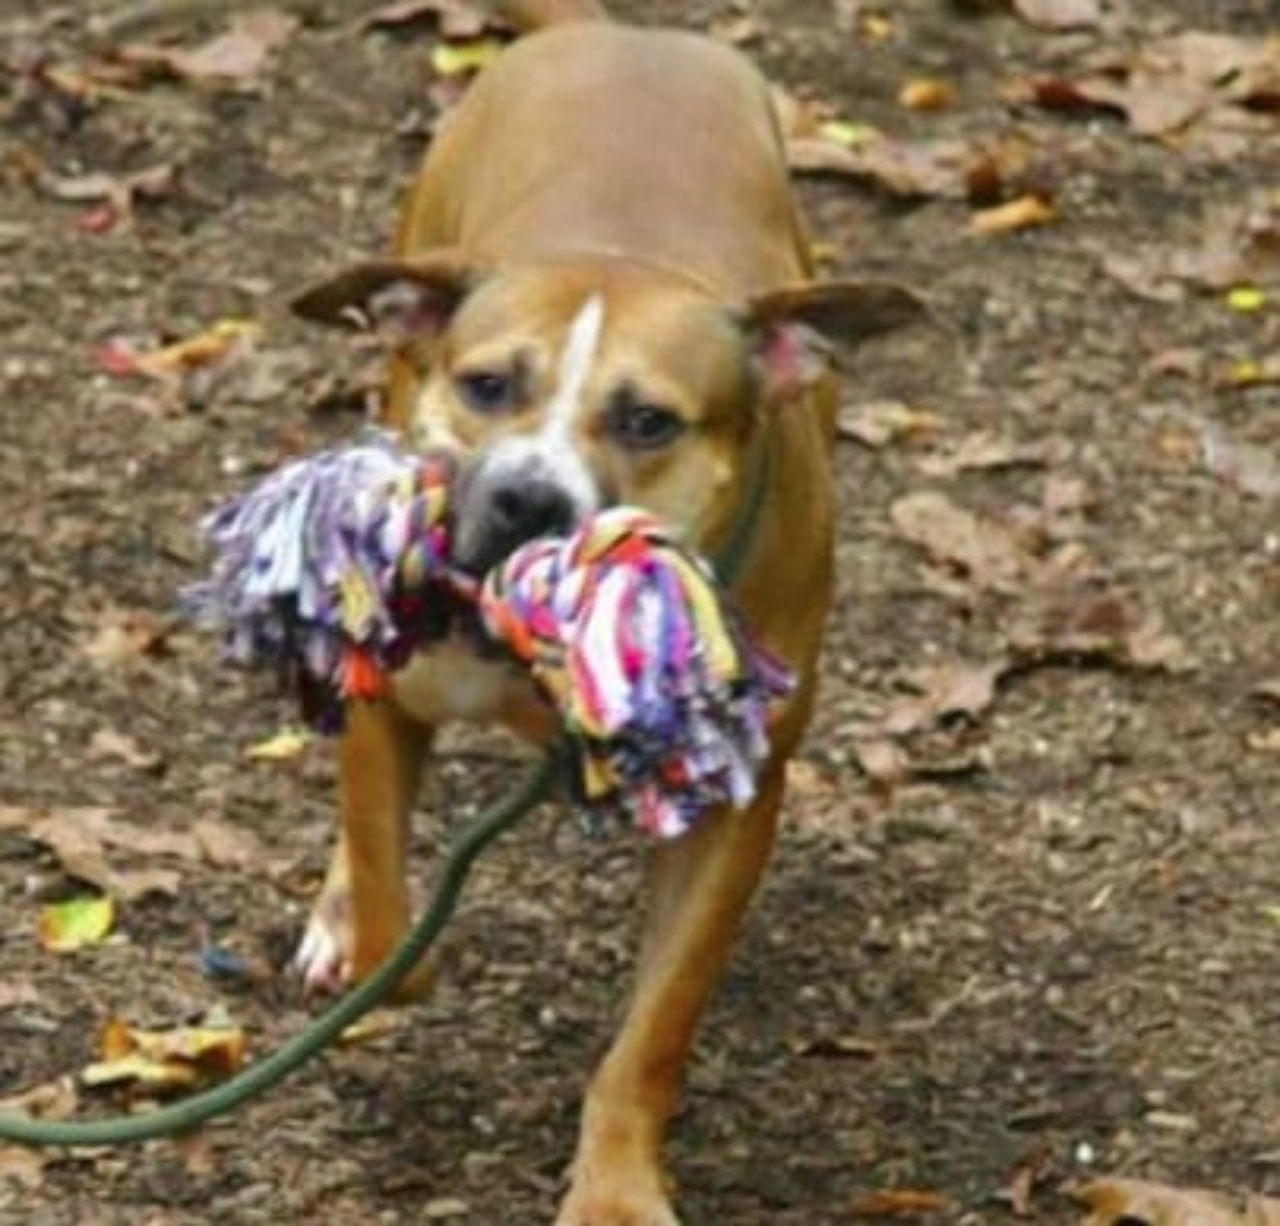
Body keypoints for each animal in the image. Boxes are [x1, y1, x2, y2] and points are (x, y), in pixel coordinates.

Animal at [290, 4, 921, 1223]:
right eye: (488, 385)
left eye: (646, 420)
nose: (526, 497)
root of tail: (616, 29)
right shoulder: (397, 699)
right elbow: (398, 911)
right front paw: (372, 937)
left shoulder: (732, 805)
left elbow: (653, 1032)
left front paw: (617, 1184)